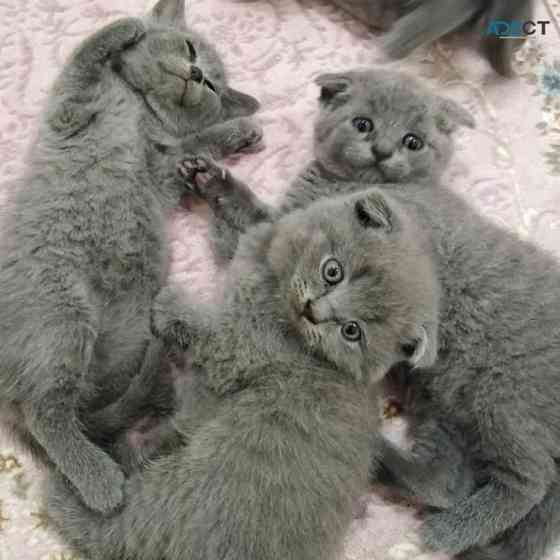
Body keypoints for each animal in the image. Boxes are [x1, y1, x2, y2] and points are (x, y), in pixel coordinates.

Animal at [0, 0, 262, 516]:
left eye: (211, 87)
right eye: (189, 48)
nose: (196, 73)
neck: (140, 109)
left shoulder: (160, 169)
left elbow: (190, 146)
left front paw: (238, 131)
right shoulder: (70, 108)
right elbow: (85, 55)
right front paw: (129, 27)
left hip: (110, 330)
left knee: (65, 411)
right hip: (62, 310)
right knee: (46, 411)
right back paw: (103, 480)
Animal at [47, 185, 442, 560]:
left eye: (351, 331)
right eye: (333, 271)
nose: (314, 311)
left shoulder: (240, 347)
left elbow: (209, 330)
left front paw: (170, 305)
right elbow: (246, 231)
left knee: (117, 516)